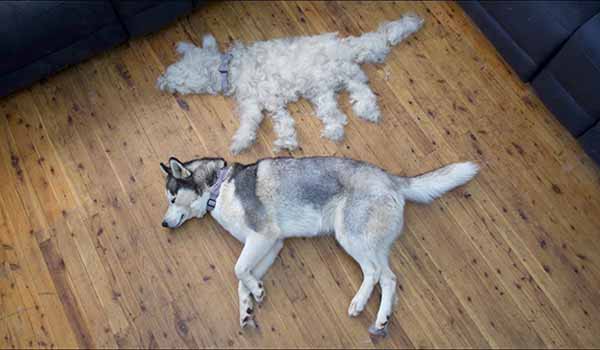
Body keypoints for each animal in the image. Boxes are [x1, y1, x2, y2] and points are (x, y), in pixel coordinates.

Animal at [157, 13, 424, 153]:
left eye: (175, 73)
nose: (159, 81)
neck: (230, 68)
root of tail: (345, 46)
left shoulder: (264, 100)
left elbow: (269, 123)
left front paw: (245, 142)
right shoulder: (257, 104)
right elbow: (267, 122)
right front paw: (281, 141)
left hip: (334, 78)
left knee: (360, 93)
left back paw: (362, 113)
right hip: (325, 91)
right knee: (344, 107)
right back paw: (348, 122)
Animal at [159, 157, 478, 336]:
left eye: (172, 198)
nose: (163, 224)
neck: (219, 188)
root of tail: (390, 178)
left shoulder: (263, 236)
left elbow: (237, 269)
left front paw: (255, 292)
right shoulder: (271, 244)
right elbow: (242, 279)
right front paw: (249, 305)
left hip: (349, 235)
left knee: (374, 273)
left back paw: (359, 302)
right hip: (370, 243)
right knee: (389, 278)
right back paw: (381, 319)